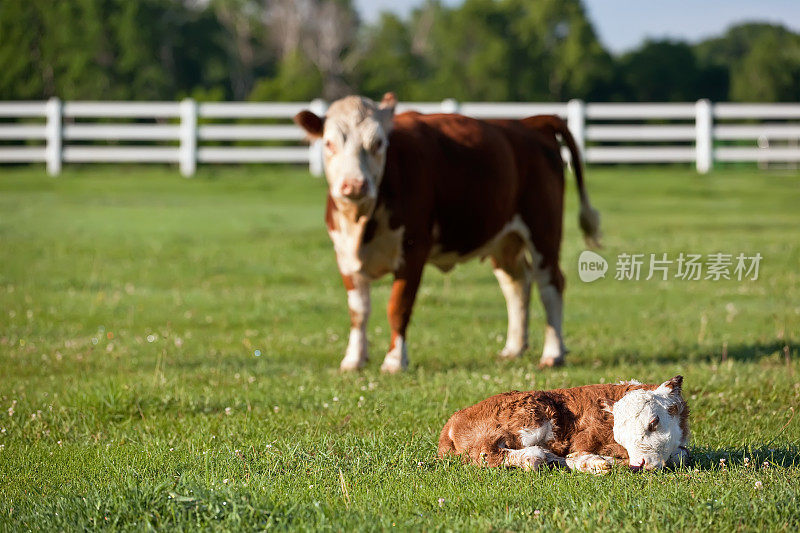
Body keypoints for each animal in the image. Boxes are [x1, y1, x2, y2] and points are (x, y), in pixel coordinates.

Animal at [296, 91, 600, 372]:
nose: (354, 185)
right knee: (517, 283)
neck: (361, 222)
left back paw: (553, 353)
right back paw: (514, 348)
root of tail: (531, 122)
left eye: (378, 143)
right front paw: (354, 359)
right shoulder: (344, 254)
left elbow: (398, 306)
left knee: (550, 284)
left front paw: (395, 361)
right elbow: (358, 311)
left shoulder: (413, 249)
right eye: (329, 143)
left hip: (543, 230)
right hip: (504, 239)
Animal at [438, 374, 688, 474]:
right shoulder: (583, 439)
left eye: (654, 422)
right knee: (492, 454)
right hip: (531, 418)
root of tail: (453, 420)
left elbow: (681, 455)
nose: (638, 464)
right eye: (620, 436)